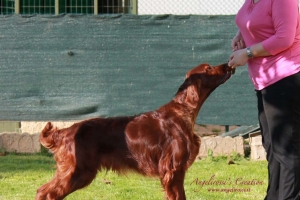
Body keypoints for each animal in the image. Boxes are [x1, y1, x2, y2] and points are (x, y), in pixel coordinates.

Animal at [35, 63, 232, 200]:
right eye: (209, 68)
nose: (228, 65)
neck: (183, 111)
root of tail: (66, 132)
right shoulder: (173, 170)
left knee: (43, 191)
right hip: (78, 171)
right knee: (47, 193)